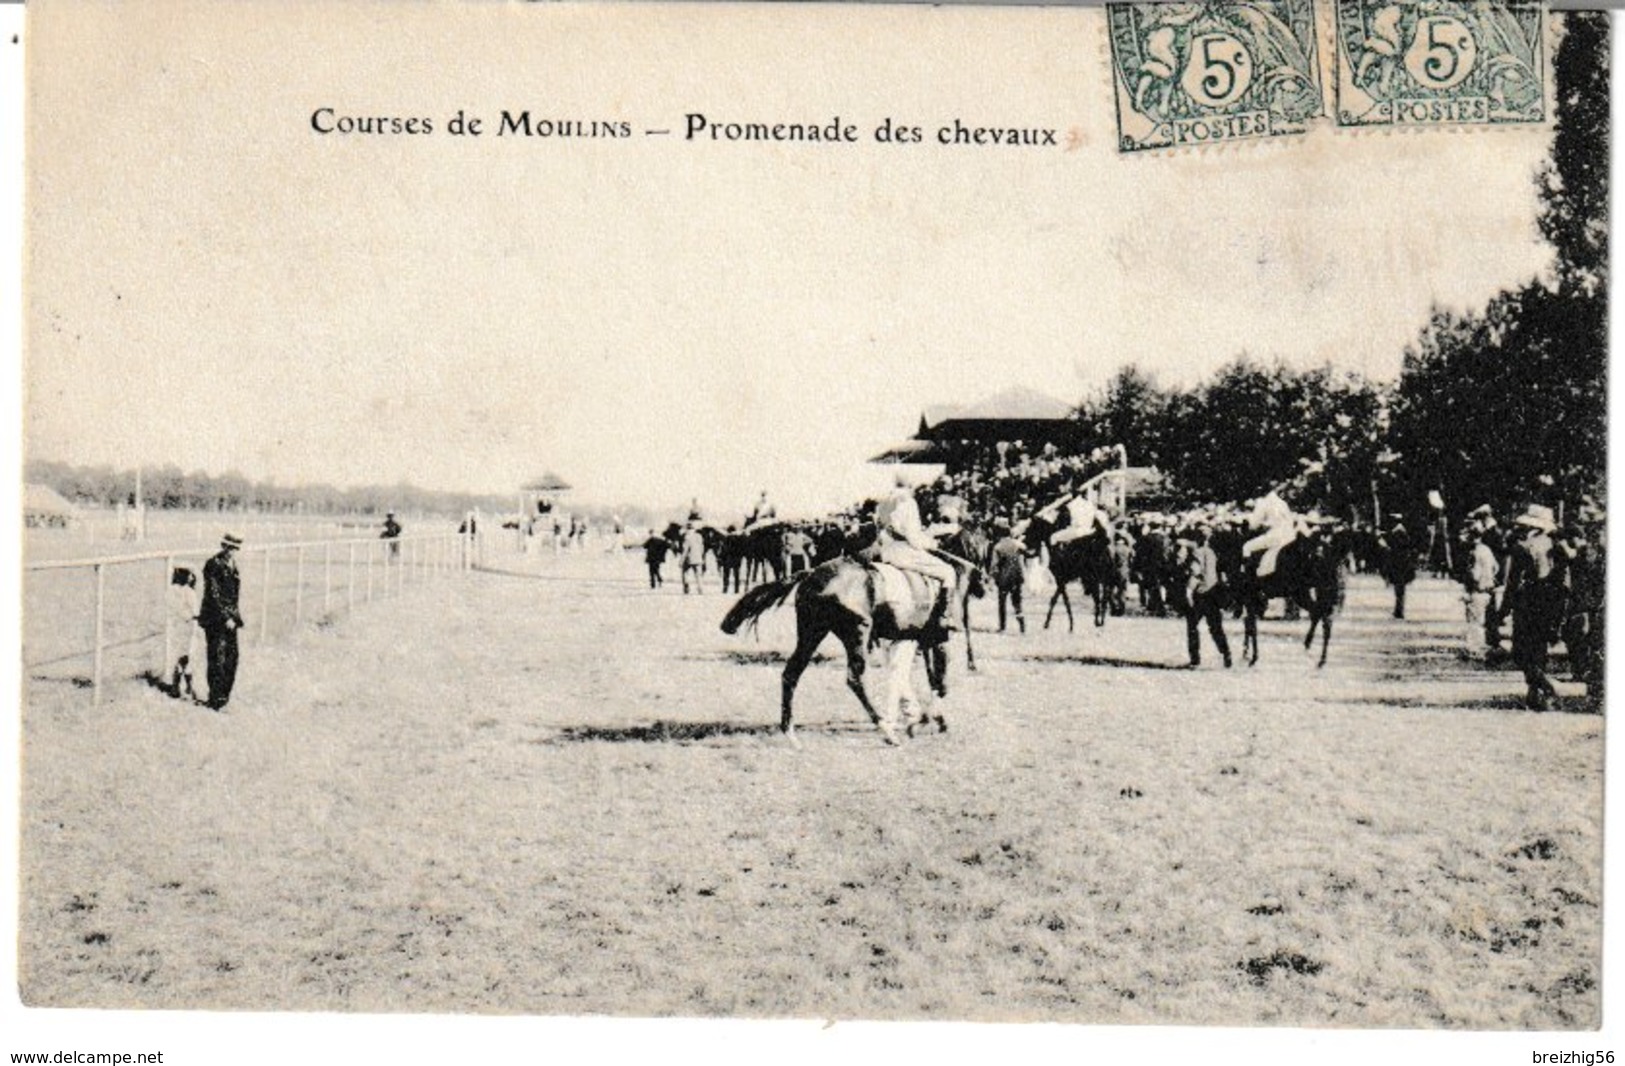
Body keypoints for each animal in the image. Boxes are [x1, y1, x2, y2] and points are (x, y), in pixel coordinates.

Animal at [721, 549, 975, 741]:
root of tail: (813, 573)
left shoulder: (908, 639)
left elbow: (904, 676)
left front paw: (917, 716)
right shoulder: (935, 639)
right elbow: (934, 679)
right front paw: (927, 718)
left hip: (812, 633)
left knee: (791, 673)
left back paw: (789, 731)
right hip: (857, 632)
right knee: (855, 678)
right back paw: (885, 729)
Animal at [1222, 523, 1352, 666]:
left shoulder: (1251, 597)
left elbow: (1251, 626)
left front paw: (1252, 657)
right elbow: (1249, 624)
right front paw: (1247, 654)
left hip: (1303, 593)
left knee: (1320, 615)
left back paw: (1314, 651)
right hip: (1311, 592)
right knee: (1321, 615)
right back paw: (1317, 653)